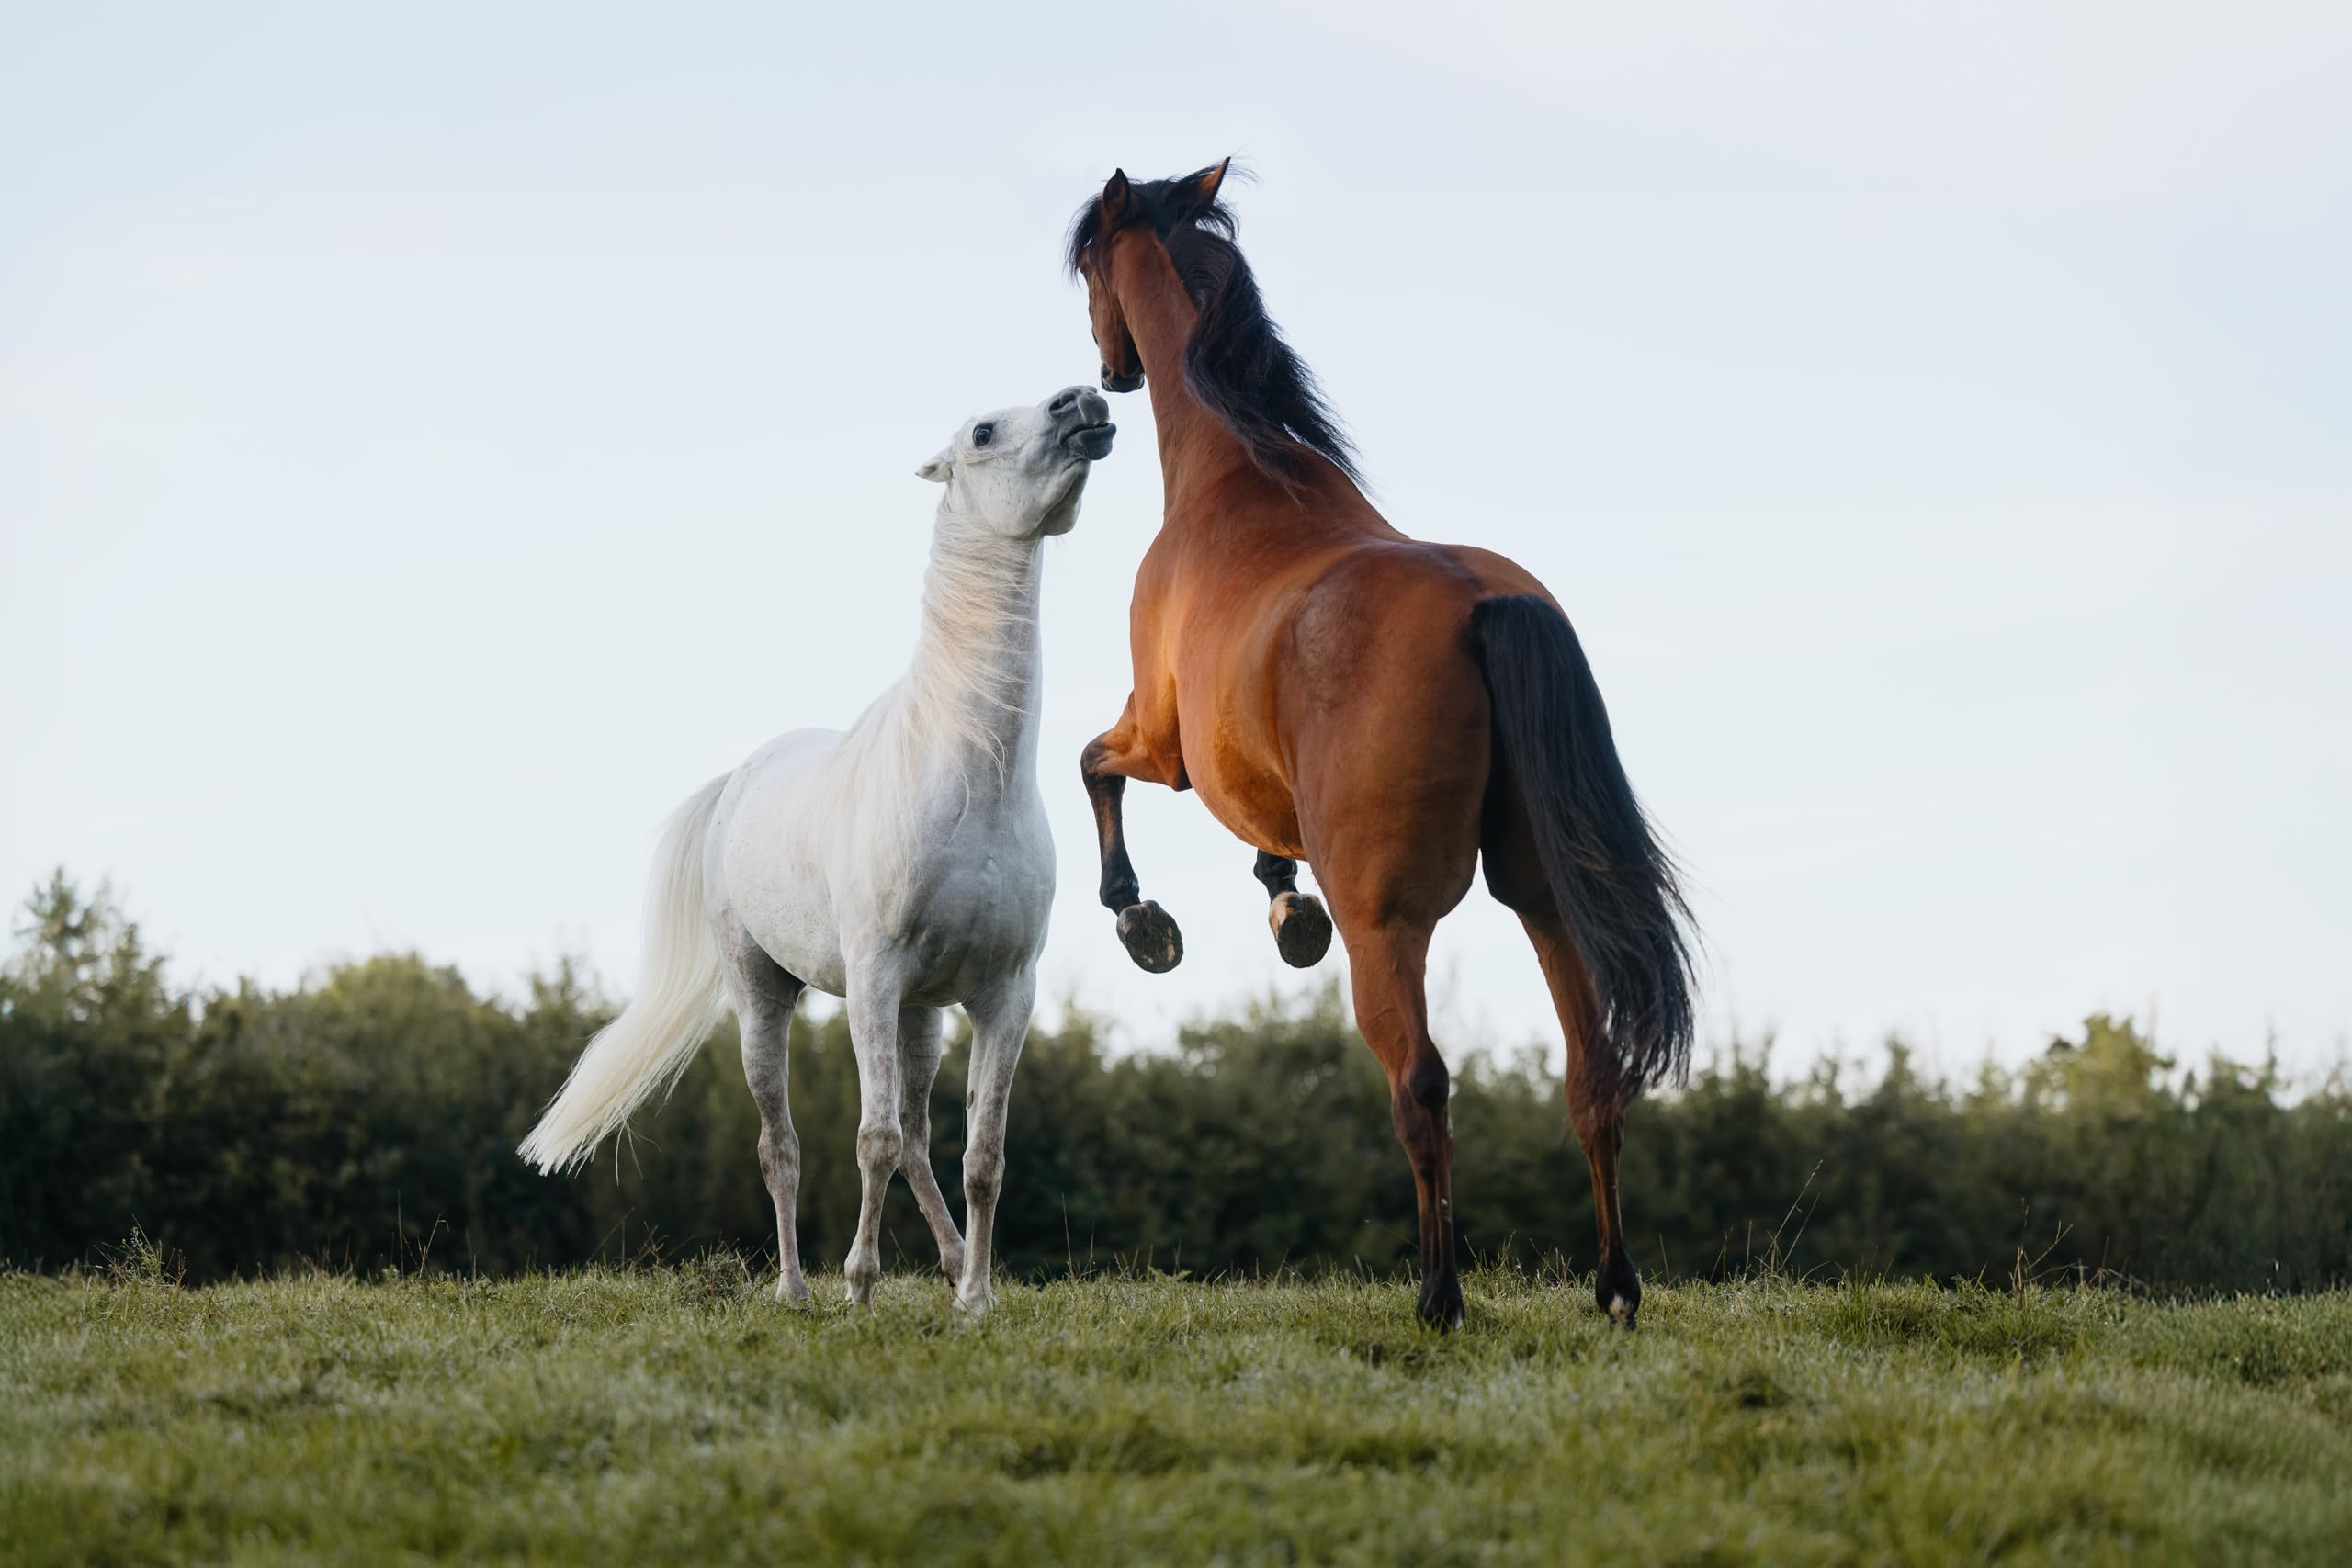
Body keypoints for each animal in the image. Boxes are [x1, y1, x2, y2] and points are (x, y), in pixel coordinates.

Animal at [519, 385, 1117, 1314]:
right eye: (983, 431)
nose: (1084, 401)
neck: (972, 778)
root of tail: (740, 778)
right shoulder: (873, 980)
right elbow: (869, 1139)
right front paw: (860, 1290)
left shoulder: (1005, 996)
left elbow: (982, 1155)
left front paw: (976, 1301)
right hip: (767, 995)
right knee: (785, 1146)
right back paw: (797, 1288)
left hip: (922, 1014)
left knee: (920, 1137)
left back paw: (949, 1266)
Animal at [1066, 162, 1695, 1331]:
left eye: (1088, 266)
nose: (1108, 373)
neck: (1239, 480)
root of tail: (1484, 605)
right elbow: (1261, 835)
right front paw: (1283, 906)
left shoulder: (1163, 743)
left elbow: (1091, 768)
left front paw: (1146, 921)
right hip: (1544, 897)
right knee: (1592, 1077)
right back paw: (1614, 1288)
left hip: (1390, 921)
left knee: (1422, 1083)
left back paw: (1439, 1293)